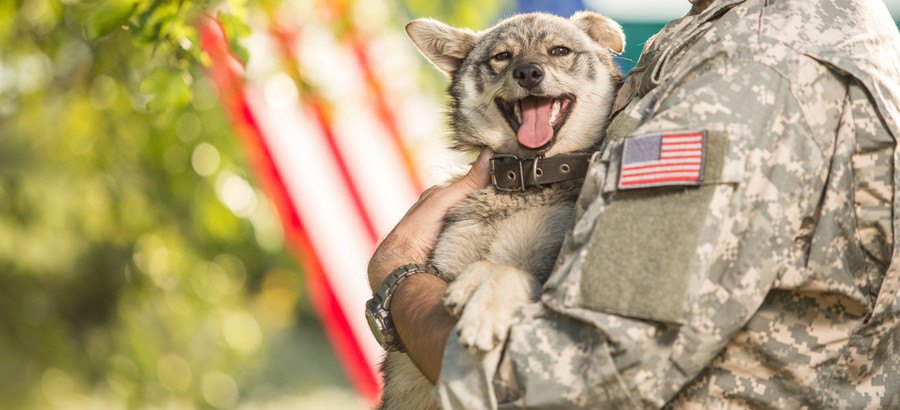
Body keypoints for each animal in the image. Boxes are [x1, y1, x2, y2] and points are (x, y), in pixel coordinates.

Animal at [376, 11, 624, 408]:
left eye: (559, 50)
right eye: (502, 57)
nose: (528, 72)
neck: (521, 184)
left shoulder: (551, 269)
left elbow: (510, 271)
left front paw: (484, 305)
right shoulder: (444, 262)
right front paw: (472, 284)